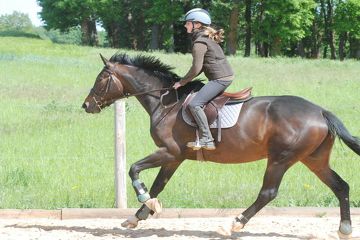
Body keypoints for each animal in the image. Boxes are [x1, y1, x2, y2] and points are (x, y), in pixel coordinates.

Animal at [82, 51, 360, 237]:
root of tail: (321, 111)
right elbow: (159, 185)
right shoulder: (174, 157)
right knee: (340, 186)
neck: (166, 103)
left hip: (281, 158)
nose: (86, 105)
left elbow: (134, 169)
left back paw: (233, 223)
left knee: (268, 193)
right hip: (313, 159)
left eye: (101, 79)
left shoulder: (169, 151)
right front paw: (138, 215)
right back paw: (344, 228)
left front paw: (143, 199)